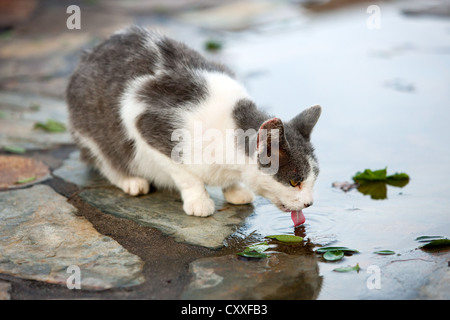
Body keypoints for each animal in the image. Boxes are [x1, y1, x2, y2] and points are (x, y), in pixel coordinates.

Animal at [66, 26, 320, 220]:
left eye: (313, 179)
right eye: (294, 181)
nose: (309, 203)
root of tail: (90, 52)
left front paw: (235, 190)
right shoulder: (147, 123)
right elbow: (186, 176)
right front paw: (199, 202)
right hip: (91, 129)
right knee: (104, 158)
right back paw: (131, 180)